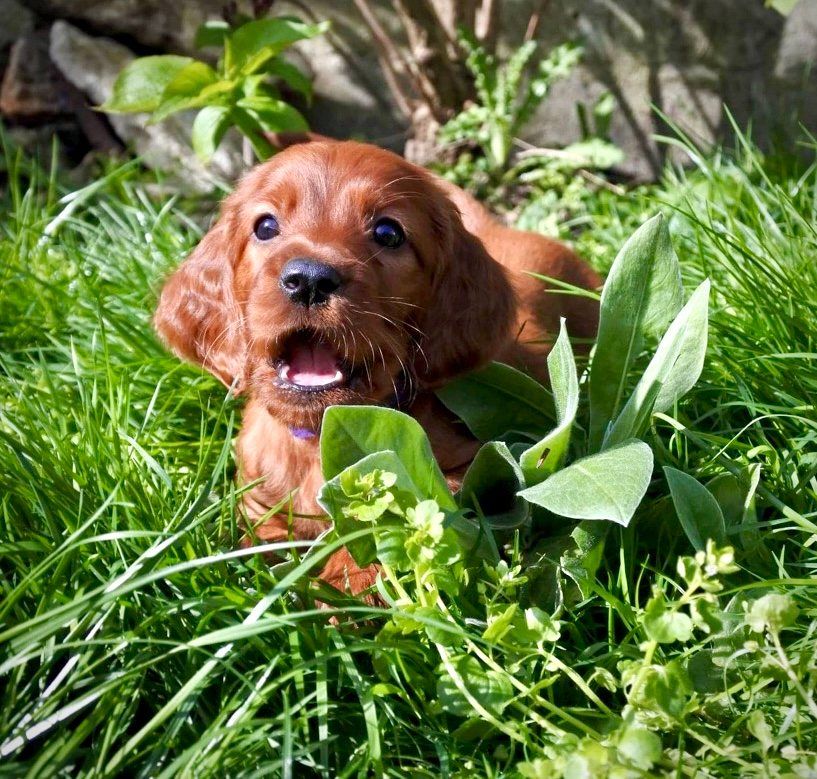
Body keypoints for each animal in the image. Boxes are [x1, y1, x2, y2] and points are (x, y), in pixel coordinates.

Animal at [155, 139, 600, 592]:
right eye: (265, 227)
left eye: (388, 233)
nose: (309, 279)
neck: (319, 435)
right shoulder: (255, 496)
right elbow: (258, 537)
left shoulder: (475, 474)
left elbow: (392, 516)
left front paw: (344, 587)